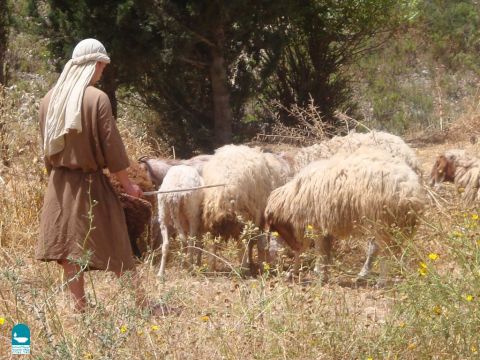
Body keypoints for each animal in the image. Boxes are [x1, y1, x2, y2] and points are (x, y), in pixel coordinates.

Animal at [264, 148, 426, 286]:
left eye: (275, 228)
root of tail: (410, 190)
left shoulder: (314, 223)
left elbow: (314, 250)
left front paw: (313, 274)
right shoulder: (321, 225)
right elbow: (322, 251)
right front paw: (320, 274)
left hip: (381, 222)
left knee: (384, 251)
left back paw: (380, 281)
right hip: (391, 224)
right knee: (384, 249)